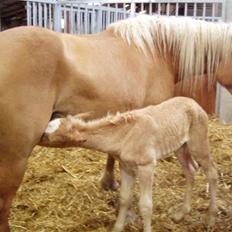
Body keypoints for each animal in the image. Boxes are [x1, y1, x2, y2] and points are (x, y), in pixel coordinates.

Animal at [39, 97, 218, 231]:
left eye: (49, 136)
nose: (38, 136)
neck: (124, 135)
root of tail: (195, 103)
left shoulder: (147, 166)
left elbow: (146, 205)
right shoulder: (125, 166)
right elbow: (124, 198)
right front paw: (117, 228)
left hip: (198, 142)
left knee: (211, 172)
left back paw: (210, 218)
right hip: (180, 146)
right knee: (190, 170)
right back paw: (181, 213)